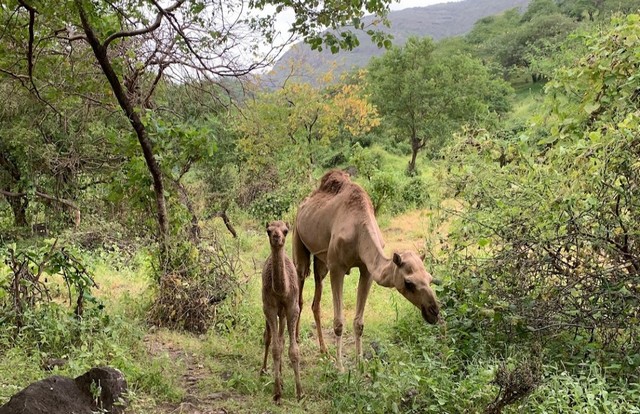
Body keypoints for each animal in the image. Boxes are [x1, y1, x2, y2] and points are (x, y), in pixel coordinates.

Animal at [292, 170, 438, 370]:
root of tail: (303, 204)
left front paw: (360, 363)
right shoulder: (337, 267)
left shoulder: (366, 271)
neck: (359, 231)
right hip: (298, 240)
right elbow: (339, 322)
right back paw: (296, 341)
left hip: (321, 262)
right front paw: (340, 368)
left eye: (430, 279)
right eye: (409, 283)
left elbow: (359, 323)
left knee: (316, 301)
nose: (434, 312)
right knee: (299, 293)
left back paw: (324, 351)